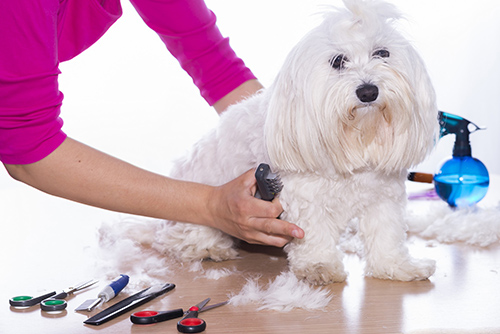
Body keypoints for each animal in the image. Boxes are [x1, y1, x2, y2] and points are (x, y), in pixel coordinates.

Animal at [151, 0, 438, 284]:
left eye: (382, 53)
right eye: (338, 61)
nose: (368, 91)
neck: (354, 141)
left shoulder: (383, 196)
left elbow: (387, 234)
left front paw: (396, 266)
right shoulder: (303, 198)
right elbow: (315, 234)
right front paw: (319, 266)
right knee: (178, 237)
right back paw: (208, 247)